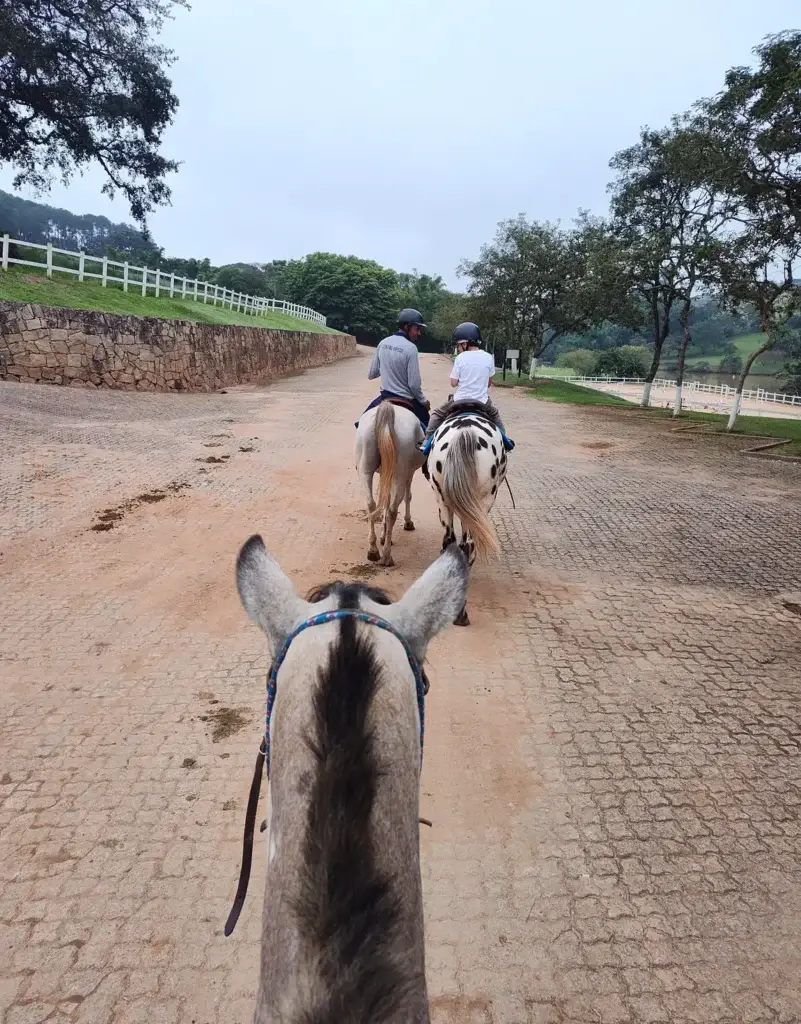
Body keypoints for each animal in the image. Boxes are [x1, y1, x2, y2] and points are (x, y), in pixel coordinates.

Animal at [355, 401, 425, 567]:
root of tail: (388, 409)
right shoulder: (409, 473)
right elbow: (407, 497)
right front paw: (408, 522)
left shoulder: (385, 473)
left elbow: (384, 501)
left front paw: (382, 535)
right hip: (400, 473)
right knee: (393, 511)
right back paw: (387, 556)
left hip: (365, 469)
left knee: (370, 505)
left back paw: (373, 551)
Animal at [422, 407, 507, 626]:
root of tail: (465, 433)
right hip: (481, 500)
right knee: (467, 545)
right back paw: (461, 612)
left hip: (444, 498)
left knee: (451, 541)